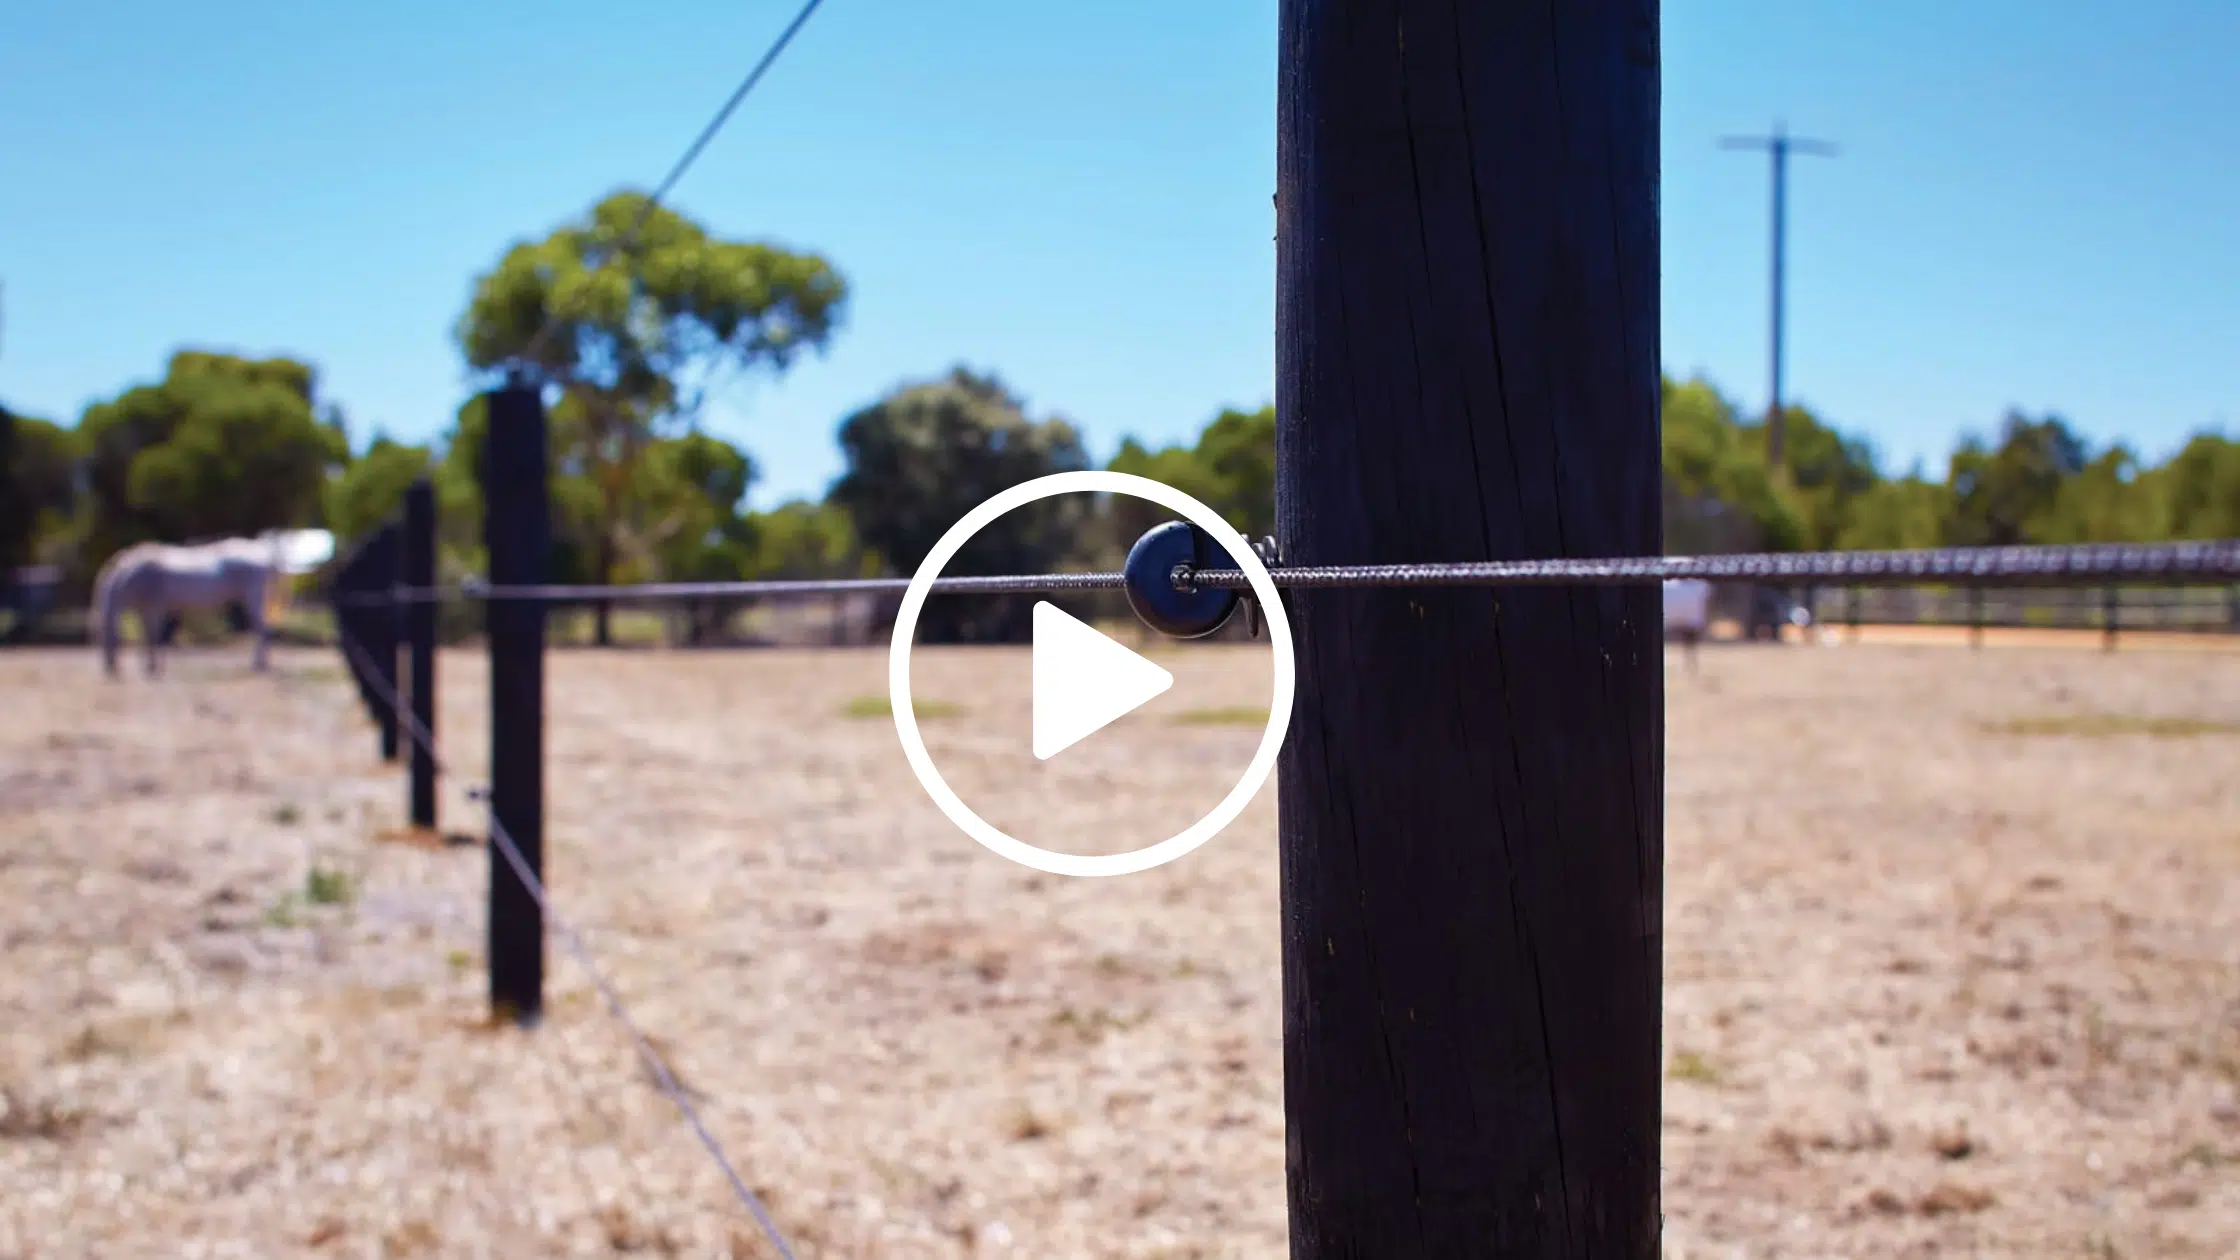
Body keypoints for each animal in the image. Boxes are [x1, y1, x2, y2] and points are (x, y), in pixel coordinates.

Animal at [92, 536, 285, 678]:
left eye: (107, 639)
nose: (109, 668)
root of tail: (263, 557)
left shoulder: (154, 606)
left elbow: (153, 636)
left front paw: (152, 668)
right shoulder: (144, 609)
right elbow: (149, 636)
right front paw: (151, 666)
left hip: (252, 598)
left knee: (262, 630)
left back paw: (258, 665)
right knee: (262, 630)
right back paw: (260, 664)